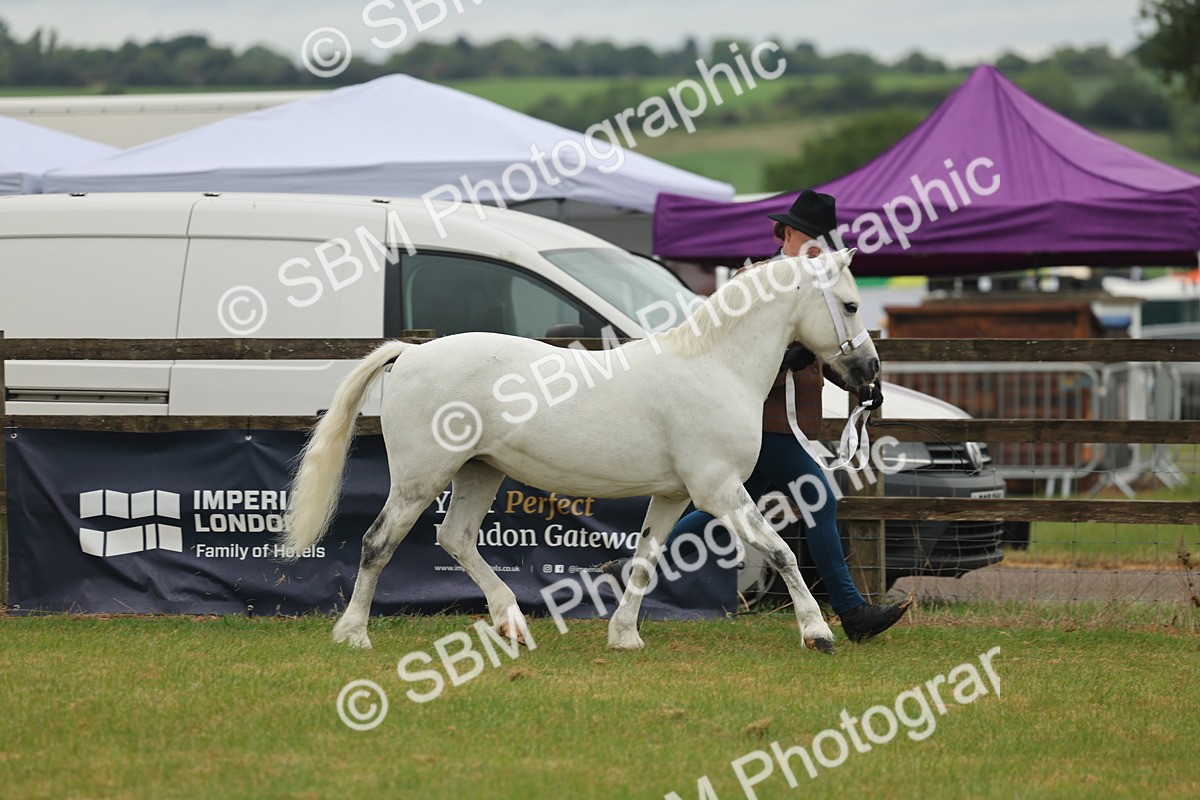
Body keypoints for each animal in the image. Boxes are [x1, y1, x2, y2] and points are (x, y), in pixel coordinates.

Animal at [281, 248, 880, 654]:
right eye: (851, 304)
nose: (870, 373)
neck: (714, 366)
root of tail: (408, 354)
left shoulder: (673, 495)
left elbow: (646, 558)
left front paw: (624, 636)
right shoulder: (720, 491)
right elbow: (780, 552)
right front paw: (817, 632)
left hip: (478, 472)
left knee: (455, 539)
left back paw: (511, 622)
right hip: (419, 480)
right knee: (377, 543)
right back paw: (354, 634)